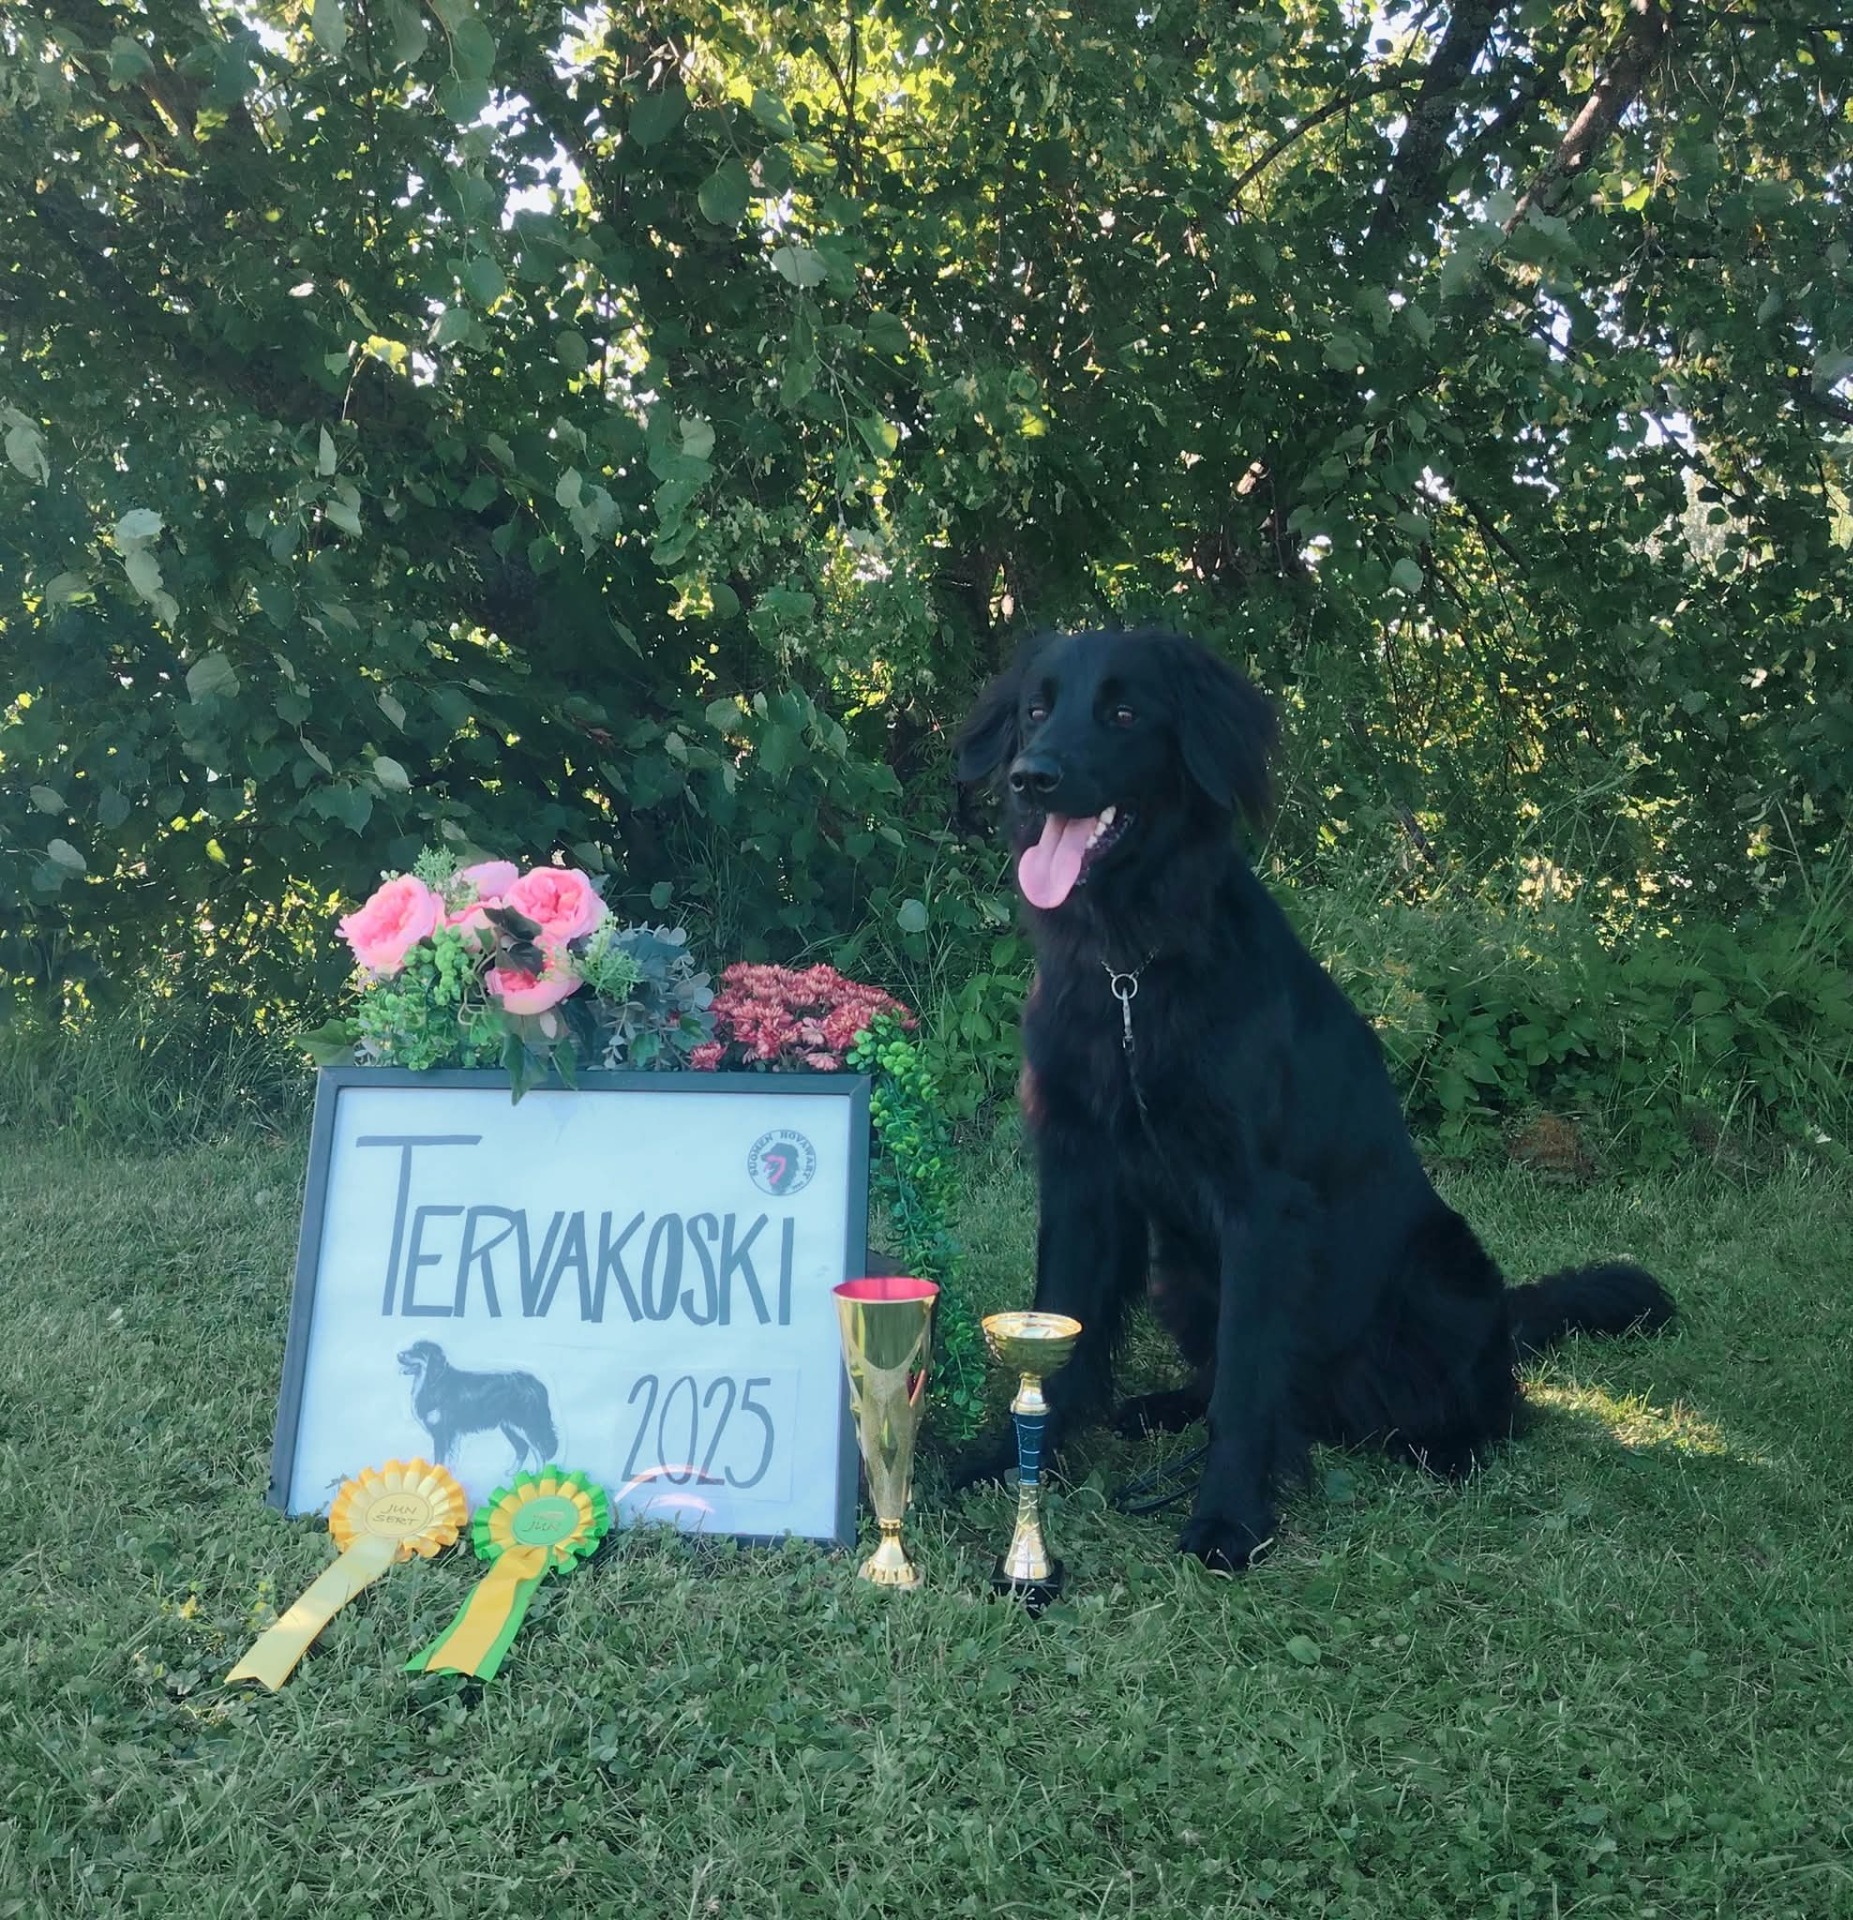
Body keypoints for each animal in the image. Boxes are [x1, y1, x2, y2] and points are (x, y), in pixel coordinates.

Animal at [397, 1340, 559, 1472]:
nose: (398, 1354)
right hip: (510, 1427)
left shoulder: (442, 1432)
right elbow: (451, 1459)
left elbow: (440, 1460)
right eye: (412, 1347)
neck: (434, 1381)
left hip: (526, 1424)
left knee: (540, 1451)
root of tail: (535, 1382)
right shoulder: (452, 1434)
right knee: (523, 1449)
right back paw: (512, 1473)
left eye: (418, 1350)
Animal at [955, 627, 1674, 1571]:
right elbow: (1069, 1324)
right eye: (1036, 709)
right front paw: (1011, 1462)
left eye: (1123, 713)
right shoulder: (1079, 1174)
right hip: (1181, 1275)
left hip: (1437, 1278)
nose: (1029, 776)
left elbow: (1248, 1380)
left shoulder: (1259, 1204)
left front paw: (1228, 1517)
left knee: (1488, 1405)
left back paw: (1447, 1447)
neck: (1129, 979)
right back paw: (1161, 1410)